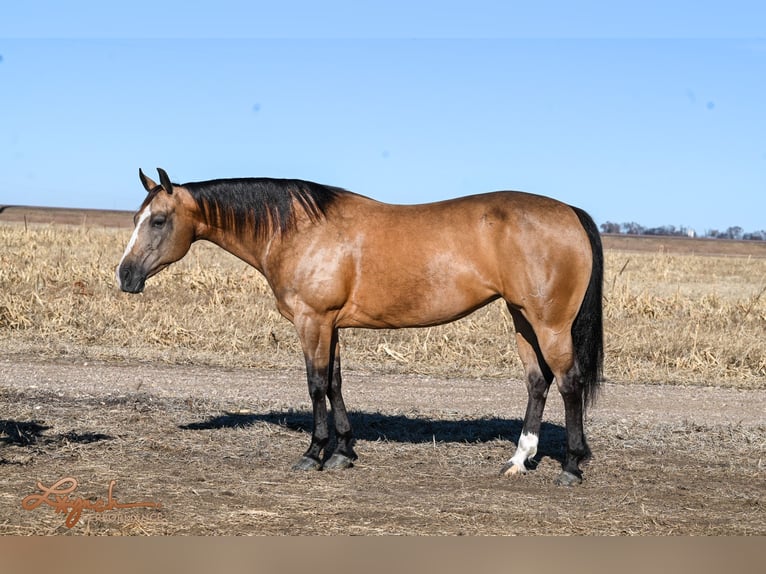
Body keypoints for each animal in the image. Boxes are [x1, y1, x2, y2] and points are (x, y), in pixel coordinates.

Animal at [117, 169, 604, 488]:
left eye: (158, 220)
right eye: (136, 219)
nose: (125, 276)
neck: (299, 229)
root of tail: (570, 213)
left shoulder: (312, 320)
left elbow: (315, 385)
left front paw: (313, 453)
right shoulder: (330, 324)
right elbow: (334, 383)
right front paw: (343, 452)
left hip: (549, 323)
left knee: (568, 382)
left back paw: (571, 467)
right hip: (522, 318)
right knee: (537, 382)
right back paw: (519, 460)